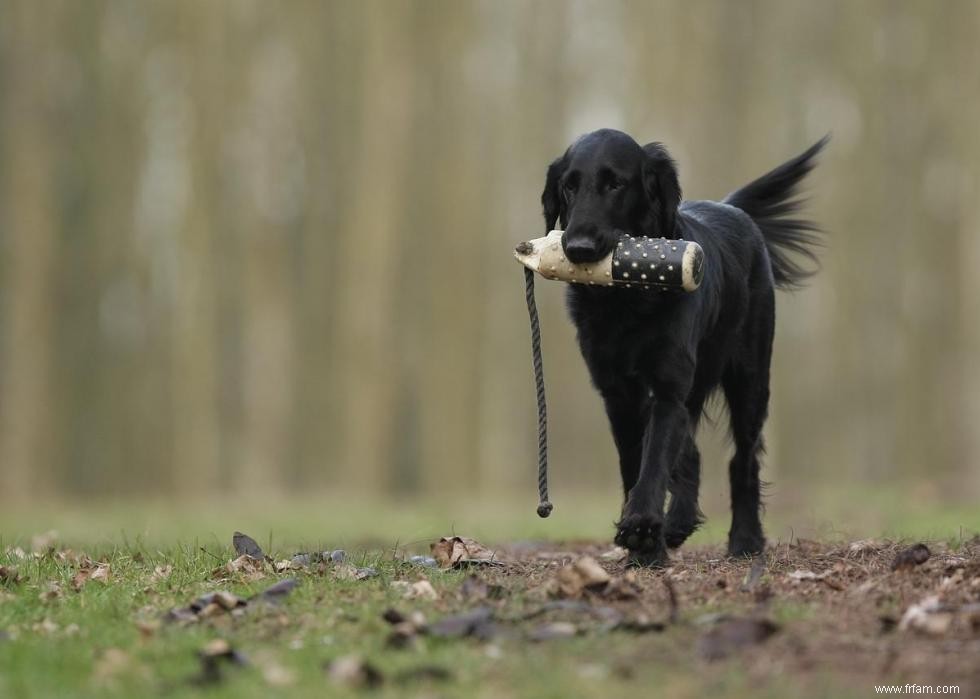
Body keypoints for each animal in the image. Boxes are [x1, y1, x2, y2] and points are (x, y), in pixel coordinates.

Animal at [544, 131, 828, 568]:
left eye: (615, 183)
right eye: (568, 186)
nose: (578, 248)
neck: (627, 301)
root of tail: (731, 207)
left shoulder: (667, 387)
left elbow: (655, 459)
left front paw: (642, 532)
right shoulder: (617, 394)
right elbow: (636, 463)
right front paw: (646, 544)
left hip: (750, 379)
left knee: (743, 459)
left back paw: (745, 540)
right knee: (691, 453)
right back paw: (677, 524)